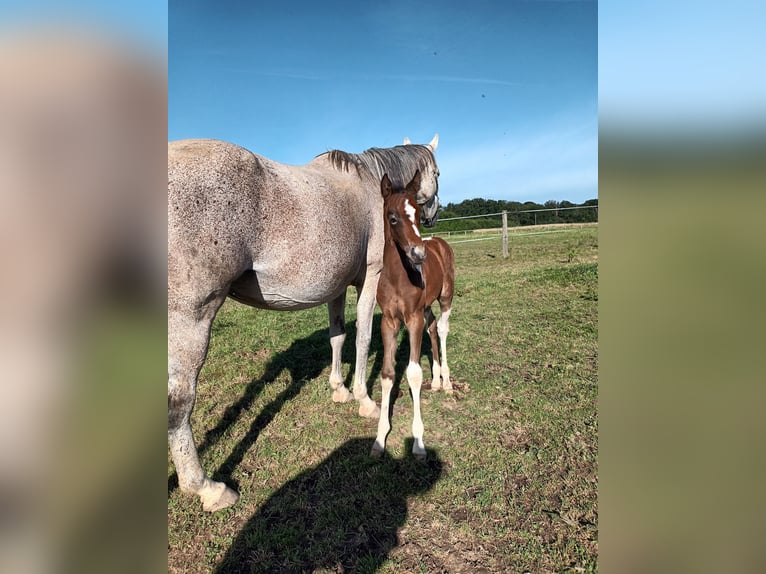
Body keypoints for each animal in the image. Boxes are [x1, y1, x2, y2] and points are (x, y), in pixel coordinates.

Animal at [170, 136, 440, 512]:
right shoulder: (370, 276)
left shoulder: (337, 287)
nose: (433, 216)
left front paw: (339, 389)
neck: (371, 184)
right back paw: (205, 487)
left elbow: (338, 336)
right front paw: (364, 400)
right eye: (437, 173)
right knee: (179, 402)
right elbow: (362, 337)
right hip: (190, 319)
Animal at [374, 170, 456, 460]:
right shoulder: (389, 322)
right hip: (426, 306)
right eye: (393, 217)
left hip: (445, 297)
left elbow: (413, 373)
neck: (397, 278)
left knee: (441, 329)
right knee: (432, 328)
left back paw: (447, 381)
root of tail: (437, 242)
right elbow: (388, 373)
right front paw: (379, 439)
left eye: (418, 214)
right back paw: (437, 380)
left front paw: (419, 442)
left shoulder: (413, 319)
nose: (418, 254)